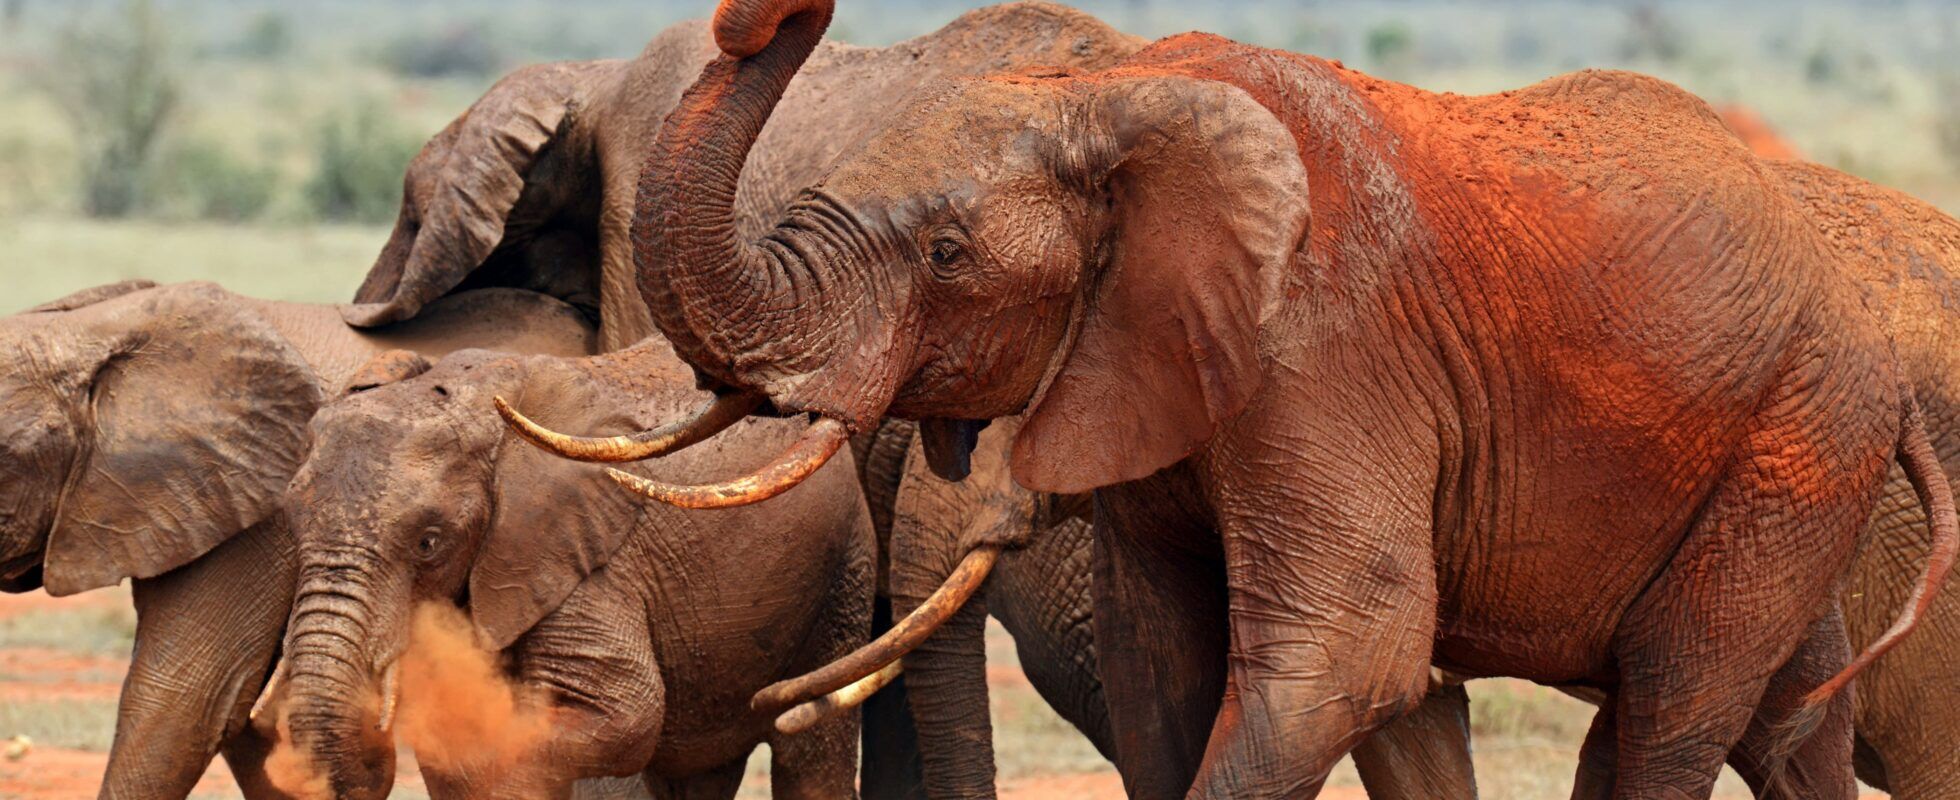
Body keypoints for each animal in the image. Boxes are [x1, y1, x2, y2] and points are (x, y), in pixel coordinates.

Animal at [261, 340, 874, 800]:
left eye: (428, 543)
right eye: (290, 524)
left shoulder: (584, 562)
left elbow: (621, 717)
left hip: (844, 569)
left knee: (810, 751)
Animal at [506, 0, 1960, 797]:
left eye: (948, 254)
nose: (764, 13)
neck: (1113, 95)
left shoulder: (1327, 355)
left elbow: (1353, 650)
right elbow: (1165, 664)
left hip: (1796, 436)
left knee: (1672, 704)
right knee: (1785, 718)